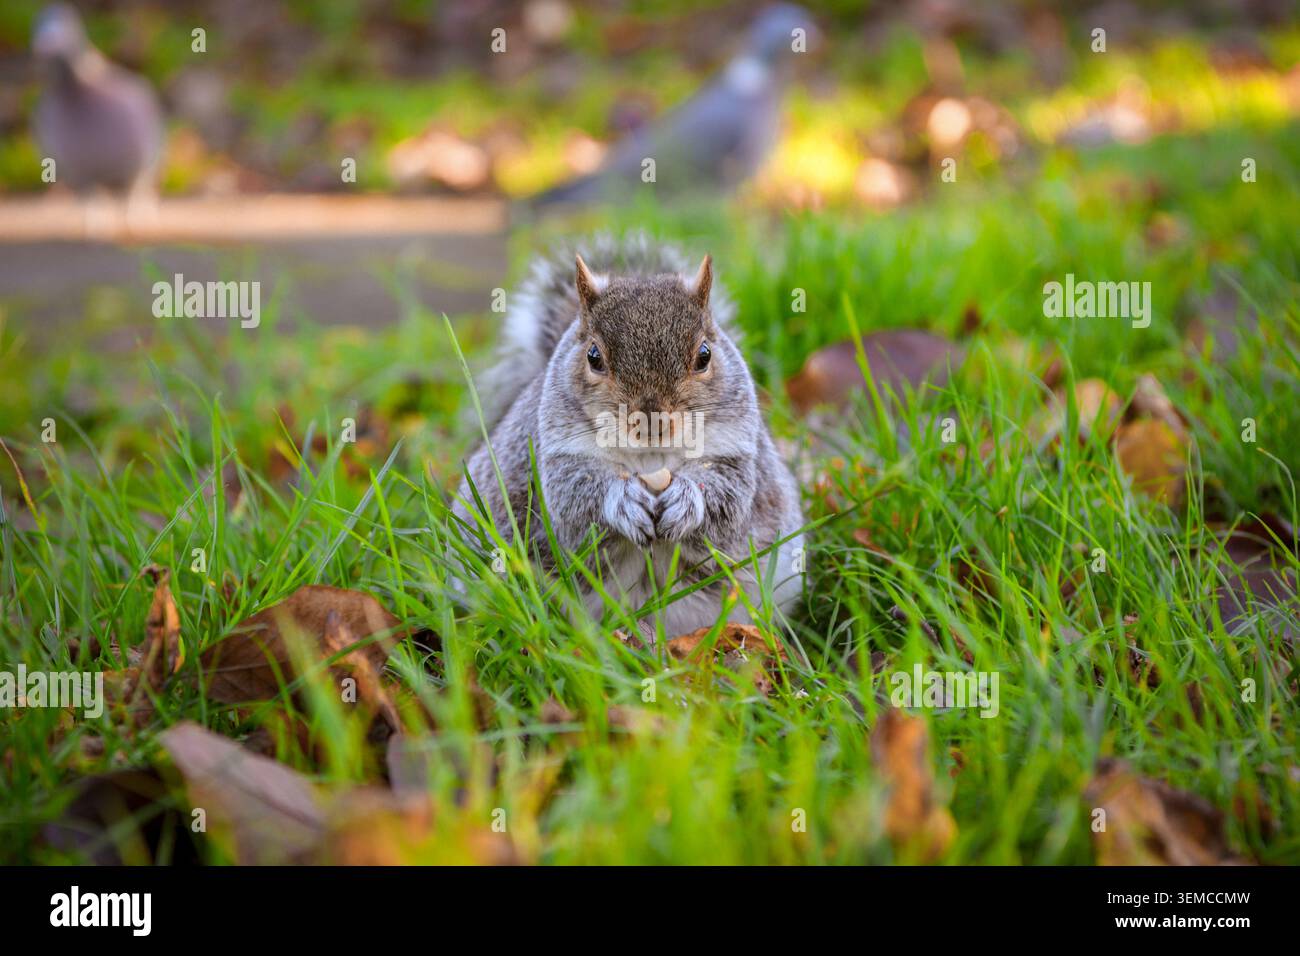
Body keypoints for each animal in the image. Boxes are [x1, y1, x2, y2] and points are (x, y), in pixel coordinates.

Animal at [453, 234, 804, 639]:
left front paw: (687, 500)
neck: (650, 461)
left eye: (704, 355)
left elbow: (727, 503)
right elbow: (573, 506)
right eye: (593, 356)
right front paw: (621, 501)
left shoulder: (735, 449)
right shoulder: (557, 453)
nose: (651, 421)